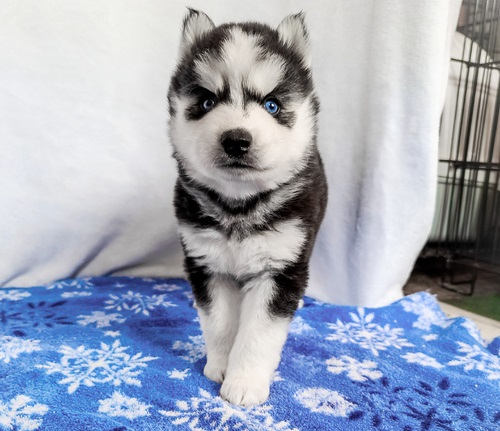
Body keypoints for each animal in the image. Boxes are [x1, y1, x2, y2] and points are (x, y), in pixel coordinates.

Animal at [168, 10, 328, 406]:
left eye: (272, 105)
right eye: (207, 103)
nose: (236, 140)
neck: (238, 205)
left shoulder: (280, 269)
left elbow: (258, 333)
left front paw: (245, 383)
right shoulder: (207, 265)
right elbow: (220, 323)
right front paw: (220, 366)